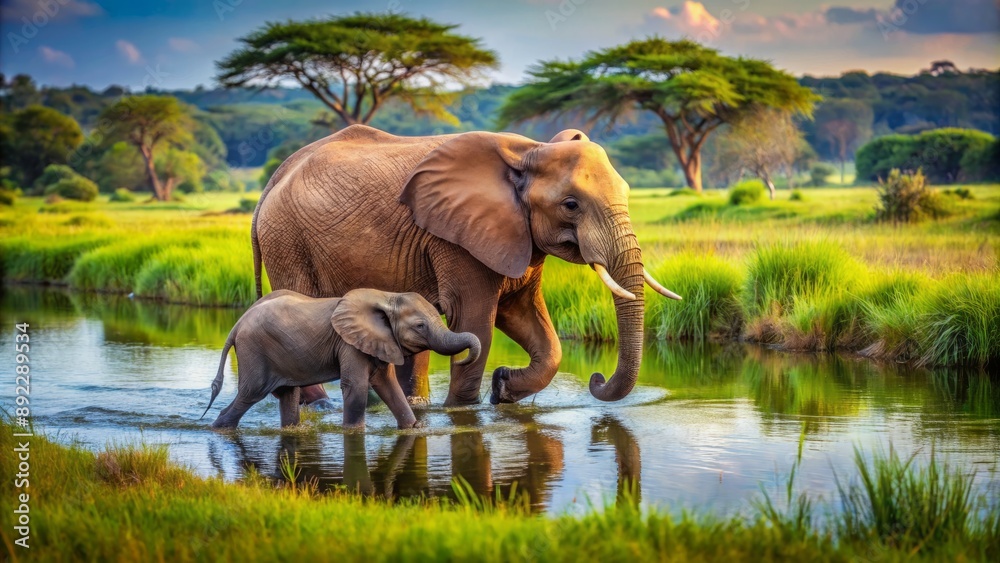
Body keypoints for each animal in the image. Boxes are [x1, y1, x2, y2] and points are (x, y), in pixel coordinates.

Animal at [202, 288, 481, 429]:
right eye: (420, 326)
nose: (461, 360)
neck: (387, 296)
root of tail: (237, 325)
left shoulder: (379, 341)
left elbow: (388, 385)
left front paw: (414, 428)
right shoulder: (348, 343)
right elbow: (356, 386)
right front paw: (354, 432)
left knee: (287, 396)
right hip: (254, 352)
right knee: (251, 394)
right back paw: (218, 427)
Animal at [253, 125, 681, 408]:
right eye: (571, 205)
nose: (596, 379)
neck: (529, 150)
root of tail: (271, 183)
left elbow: (530, 322)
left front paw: (503, 386)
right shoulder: (457, 239)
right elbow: (476, 323)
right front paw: (465, 412)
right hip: (287, 240)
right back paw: (320, 406)